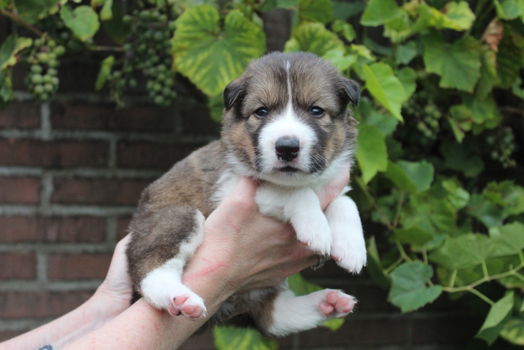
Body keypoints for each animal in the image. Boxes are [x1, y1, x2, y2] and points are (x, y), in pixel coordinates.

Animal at [127, 52, 366, 336]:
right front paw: (317, 230)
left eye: (316, 110)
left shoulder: (333, 181)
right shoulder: (235, 185)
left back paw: (328, 303)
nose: (287, 147)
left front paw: (352, 247)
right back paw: (179, 298)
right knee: (149, 268)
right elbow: (295, 193)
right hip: (172, 218)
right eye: (261, 111)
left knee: (274, 315)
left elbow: (347, 202)